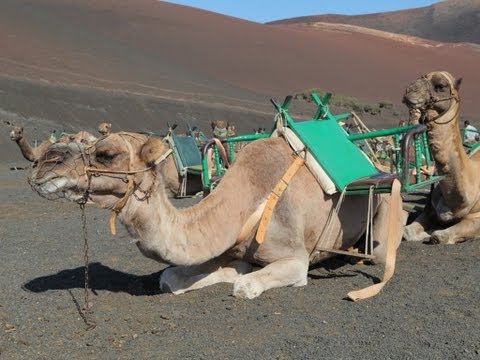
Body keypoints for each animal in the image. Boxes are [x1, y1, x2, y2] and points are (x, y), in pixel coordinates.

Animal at [29, 130, 404, 300]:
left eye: (106, 153)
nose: (44, 163)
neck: (246, 199)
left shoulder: (296, 258)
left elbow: (243, 285)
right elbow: (172, 277)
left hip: (388, 206)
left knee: (381, 250)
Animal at [402, 69, 480, 245]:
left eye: (441, 86)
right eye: (422, 77)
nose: (409, 90)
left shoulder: (478, 217)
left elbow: (440, 236)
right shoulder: (430, 210)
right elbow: (407, 232)